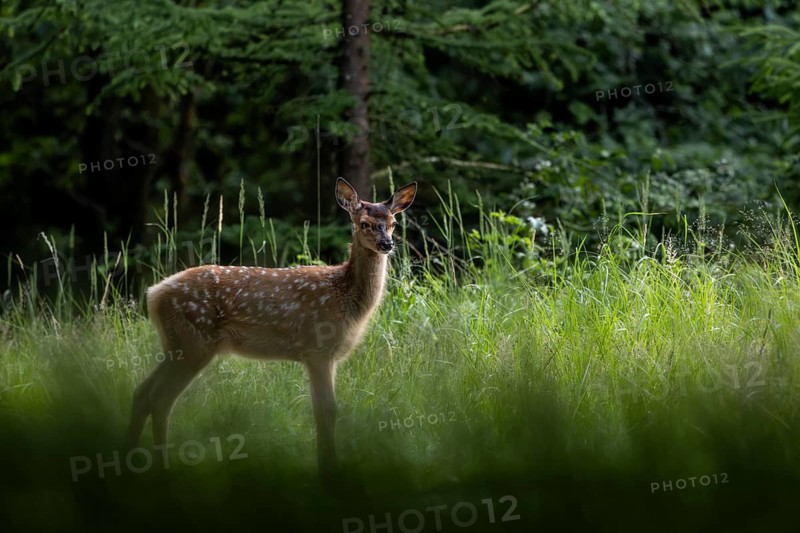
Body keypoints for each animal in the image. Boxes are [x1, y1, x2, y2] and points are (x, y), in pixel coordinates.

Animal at [127, 177, 417, 481]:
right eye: (364, 223)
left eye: (393, 222)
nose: (387, 244)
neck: (343, 297)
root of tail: (153, 294)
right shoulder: (317, 349)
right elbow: (327, 410)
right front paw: (329, 471)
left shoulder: (326, 357)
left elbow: (320, 410)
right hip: (193, 342)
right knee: (160, 398)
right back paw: (160, 468)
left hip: (176, 345)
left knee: (143, 392)